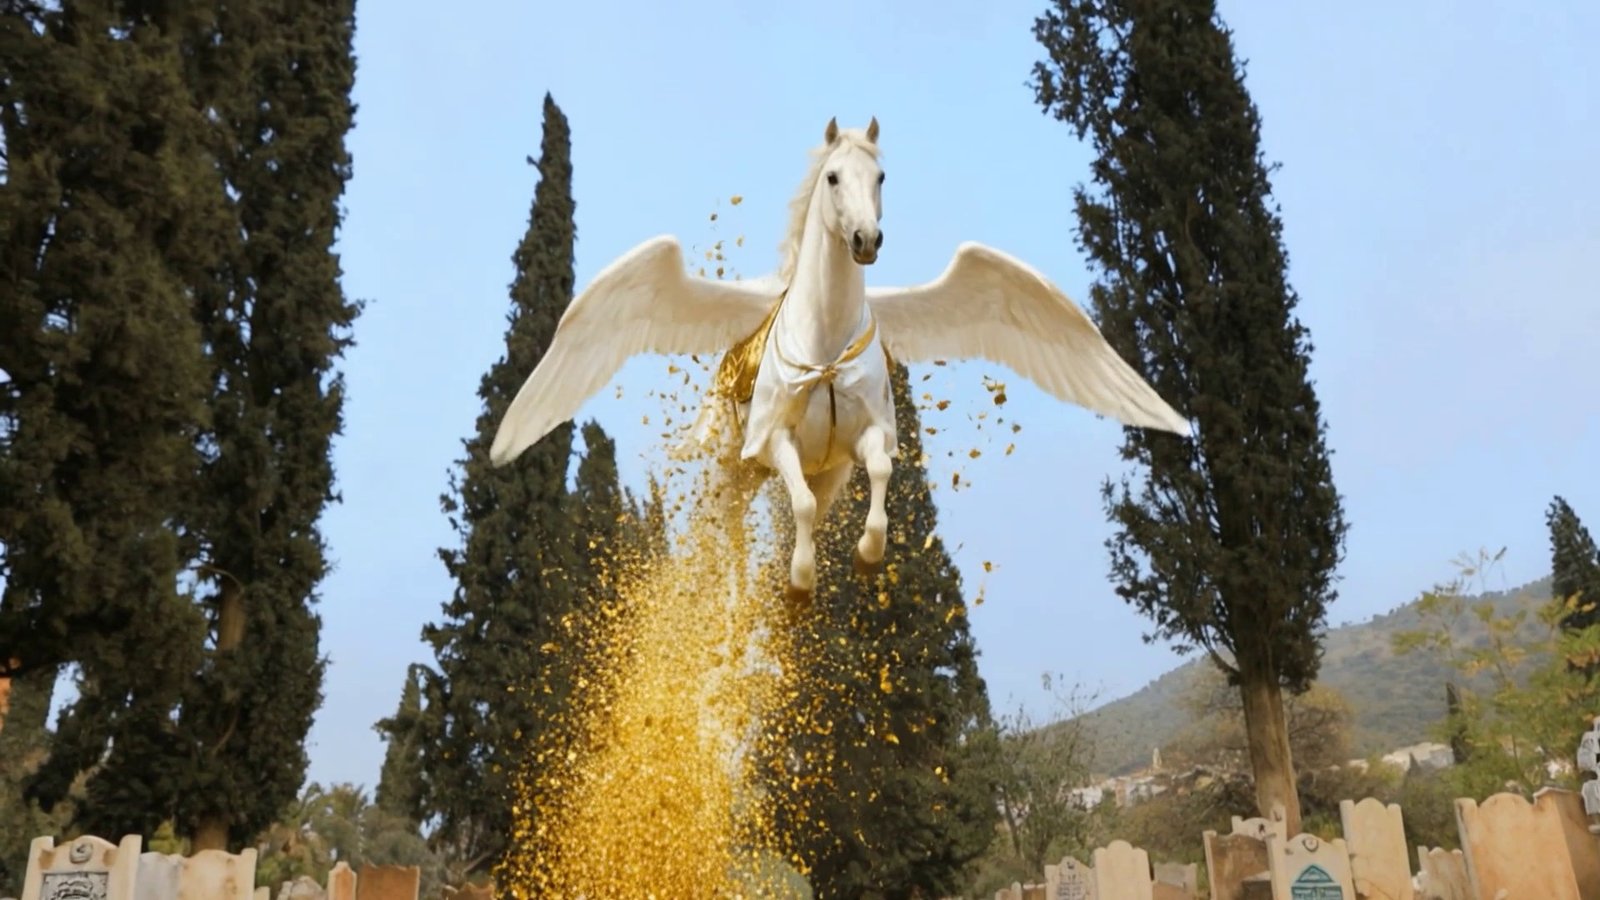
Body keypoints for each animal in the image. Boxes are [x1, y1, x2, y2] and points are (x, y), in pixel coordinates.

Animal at [489, 117, 1190, 606]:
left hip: (802, 474)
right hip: (727, 471)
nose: (865, 240)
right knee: (726, 534)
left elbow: (876, 473)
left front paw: (862, 556)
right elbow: (796, 506)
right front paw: (800, 582)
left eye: (881, 178)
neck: (823, 344)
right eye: (832, 178)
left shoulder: (867, 437)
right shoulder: (774, 441)